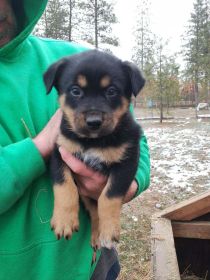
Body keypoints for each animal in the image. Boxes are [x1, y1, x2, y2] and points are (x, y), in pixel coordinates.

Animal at [43, 49, 145, 248]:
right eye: (75, 91)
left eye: (111, 91)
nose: (94, 122)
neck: (93, 142)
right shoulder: (60, 152)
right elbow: (64, 185)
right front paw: (64, 221)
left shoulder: (126, 162)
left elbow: (109, 196)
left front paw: (109, 230)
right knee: (94, 213)